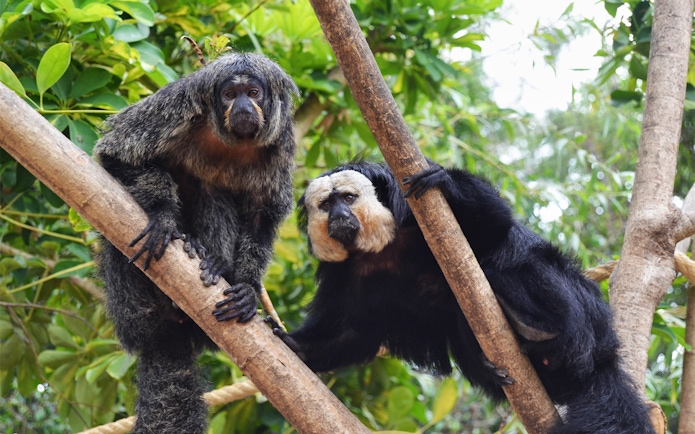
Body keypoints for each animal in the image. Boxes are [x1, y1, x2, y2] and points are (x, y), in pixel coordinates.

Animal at [93, 52, 298, 434]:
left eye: (253, 92)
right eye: (230, 94)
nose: (243, 106)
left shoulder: (281, 142)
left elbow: (263, 215)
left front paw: (247, 286)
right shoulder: (177, 106)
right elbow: (117, 155)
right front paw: (163, 215)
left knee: (212, 191)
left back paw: (212, 259)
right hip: (129, 309)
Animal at [270, 160, 656, 434]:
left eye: (348, 198)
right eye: (326, 204)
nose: (339, 216)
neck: (383, 248)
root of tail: (603, 359)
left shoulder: (416, 216)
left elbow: (493, 230)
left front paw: (445, 181)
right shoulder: (342, 274)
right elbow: (354, 330)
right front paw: (297, 346)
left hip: (587, 315)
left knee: (507, 266)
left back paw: (539, 329)